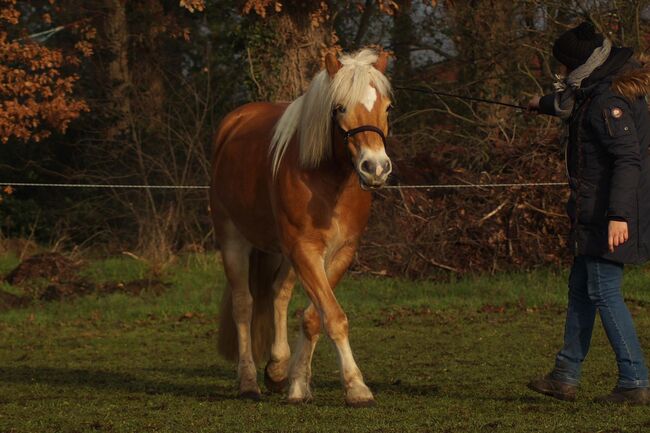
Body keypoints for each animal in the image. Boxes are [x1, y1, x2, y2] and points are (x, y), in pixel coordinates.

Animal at [210, 49, 390, 406]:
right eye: (340, 107)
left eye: (387, 107)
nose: (375, 168)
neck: (328, 179)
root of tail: (233, 124)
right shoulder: (305, 249)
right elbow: (333, 317)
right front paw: (356, 386)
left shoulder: (339, 253)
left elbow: (313, 316)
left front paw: (296, 383)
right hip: (234, 240)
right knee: (244, 305)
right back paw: (248, 381)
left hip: (283, 252)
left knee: (278, 294)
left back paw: (278, 368)